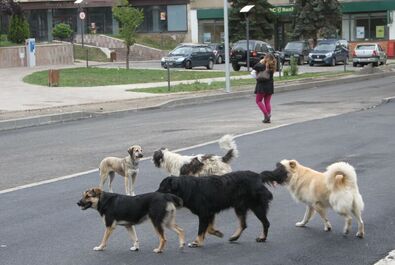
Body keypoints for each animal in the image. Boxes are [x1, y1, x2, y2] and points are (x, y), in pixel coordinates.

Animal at [156, 165, 290, 248]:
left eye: (163, 188)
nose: (154, 194)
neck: (187, 188)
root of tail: (259, 176)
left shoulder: (204, 214)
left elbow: (201, 230)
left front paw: (197, 242)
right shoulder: (210, 213)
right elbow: (208, 229)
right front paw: (217, 233)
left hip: (256, 206)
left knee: (266, 223)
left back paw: (262, 238)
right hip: (239, 207)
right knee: (243, 224)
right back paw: (235, 237)